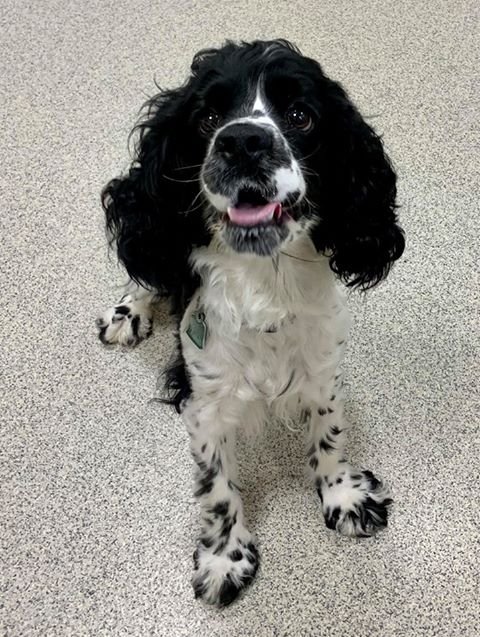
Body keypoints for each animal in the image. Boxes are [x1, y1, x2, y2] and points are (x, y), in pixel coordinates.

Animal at [97, 39, 404, 608]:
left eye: (301, 115)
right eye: (207, 117)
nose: (242, 141)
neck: (266, 279)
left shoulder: (322, 364)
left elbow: (329, 433)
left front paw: (344, 497)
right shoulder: (205, 398)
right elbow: (217, 488)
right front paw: (224, 559)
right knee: (148, 269)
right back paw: (128, 313)